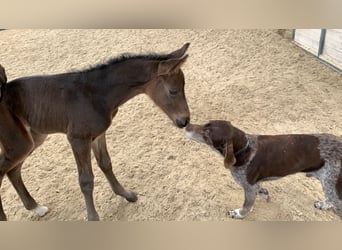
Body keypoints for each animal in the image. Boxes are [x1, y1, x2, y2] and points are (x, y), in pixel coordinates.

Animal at [0, 43, 191, 221]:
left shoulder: (97, 135)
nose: (185, 121)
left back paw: (36, 207)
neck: (97, 94)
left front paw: (126, 194)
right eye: (173, 91)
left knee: (13, 171)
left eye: (184, 86)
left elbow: (106, 164)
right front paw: (93, 217)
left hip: (34, 138)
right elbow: (86, 180)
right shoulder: (77, 138)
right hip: (20, 144)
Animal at [187, 120, 342, 220]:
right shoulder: (253, 185)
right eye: (205, 124)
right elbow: (261, 190)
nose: (186, 125)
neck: (245, 149)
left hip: (331, 183)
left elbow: (247, 205)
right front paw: (265, 193)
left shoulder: (248, 187)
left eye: (207, 133)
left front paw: (239, 214)